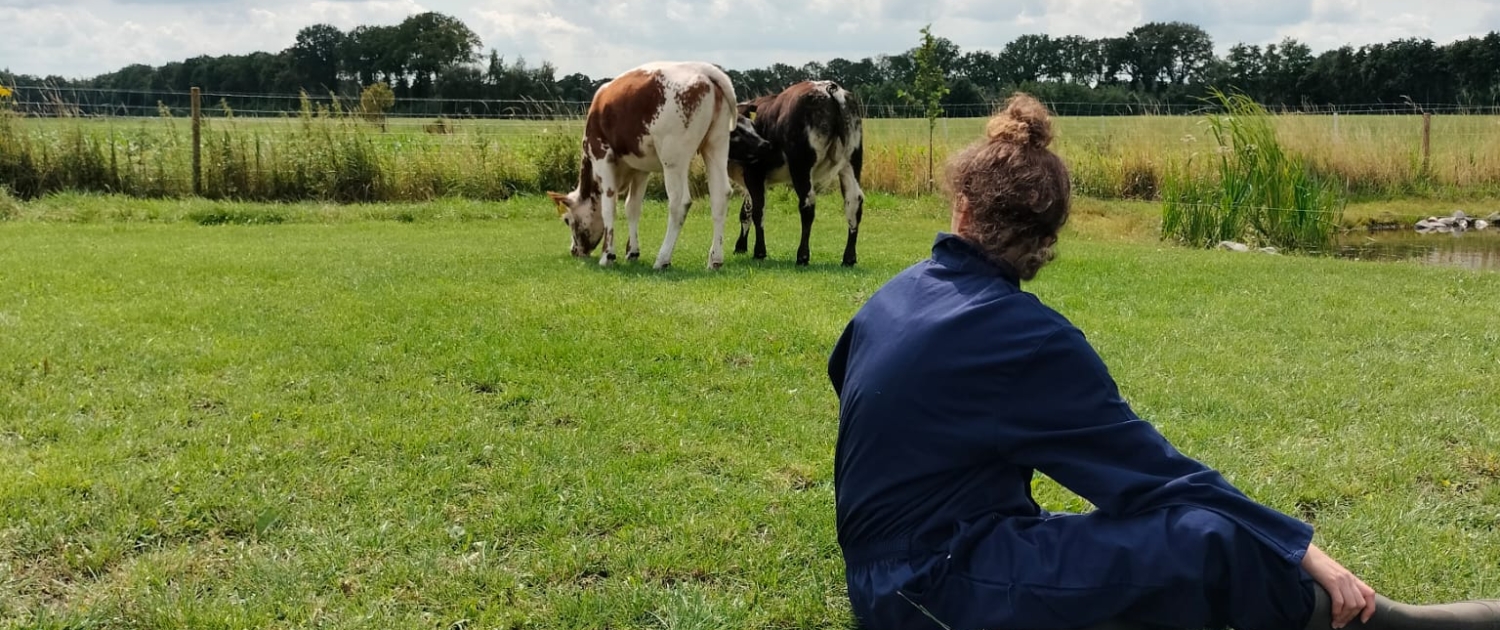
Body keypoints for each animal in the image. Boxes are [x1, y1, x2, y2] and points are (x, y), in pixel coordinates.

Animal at [546, 57, 762, 267]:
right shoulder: (641, 169)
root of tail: (704, 71)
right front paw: (632, 252)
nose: (574, 251)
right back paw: (715, 259)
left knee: (679, 203)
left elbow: (609, 208)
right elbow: (632, 207)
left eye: (567, 220)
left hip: (673, 159)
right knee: (720, 197)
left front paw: (608, 255)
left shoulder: (601, 156)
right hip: (716, 146)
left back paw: (663, 259)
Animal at [729, 78, 870, 265]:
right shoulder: (750, 179)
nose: (764, 145)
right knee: (854, 203)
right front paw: (741, 246)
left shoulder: (754, 174)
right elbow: (746, 212)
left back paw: (802, 255)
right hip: (851, 162)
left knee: (807, 205)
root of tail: (828, 87)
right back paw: (849, 257)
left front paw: (759, 251)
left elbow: (758, 211)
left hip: (801, 167)